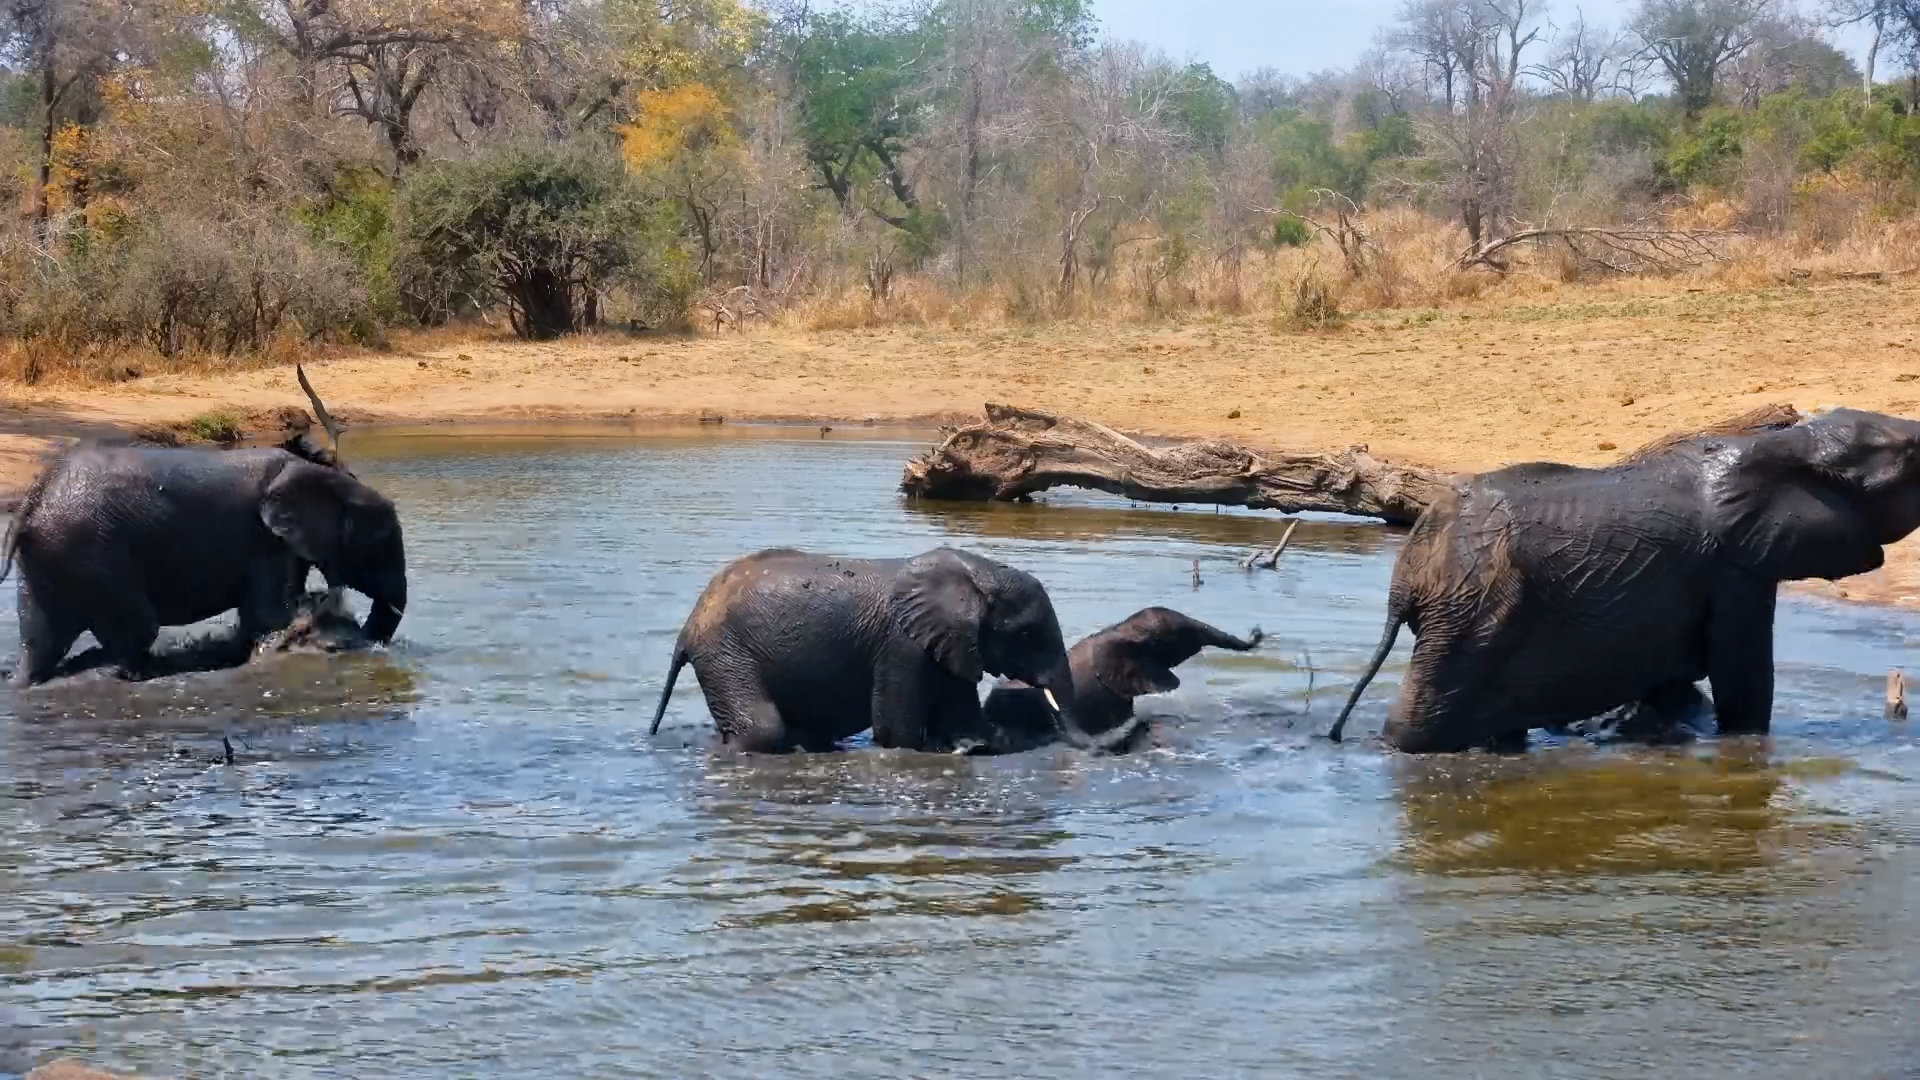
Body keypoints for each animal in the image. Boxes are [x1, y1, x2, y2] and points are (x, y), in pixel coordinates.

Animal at [2, 443, 406, 687]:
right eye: (379, 543)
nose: (367, 639)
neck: (318, 475)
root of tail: (29, 504)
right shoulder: (264, 541)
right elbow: (269, 616)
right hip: (93, 552)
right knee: (138, 628)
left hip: (51, 557)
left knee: (41, 640)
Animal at [648, 546, 1137, 754]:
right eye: (1024, 636)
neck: (971, 572)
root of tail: (690, 624)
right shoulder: (902, 644)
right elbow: (896, 733)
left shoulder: (946, 645)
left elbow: (964, 718)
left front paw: (977, 743)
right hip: (726, 653)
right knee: (761, 730)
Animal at [1328, 407, 1920, 753]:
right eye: (1912, 454)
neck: (1789, 444)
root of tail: (1408, 574)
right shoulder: (1736, 568)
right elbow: (1744, 686)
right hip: (1475, 606)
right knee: (1419, 721)